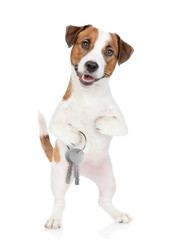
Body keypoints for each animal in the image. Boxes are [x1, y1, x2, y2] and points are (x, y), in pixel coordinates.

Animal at [38, 24, 133, 229]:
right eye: (85, 43)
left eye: (109, 51)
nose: (91, 65)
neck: (88, 95)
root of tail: (85, 171)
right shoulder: (56, 118)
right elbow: (57, 126)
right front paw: (74, 135)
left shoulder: (121, 120)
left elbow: (121, 127)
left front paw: (100, 122)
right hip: (58, 179)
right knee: (59, 201)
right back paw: (55, 218)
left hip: (109, 180)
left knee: (104, 200)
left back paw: (117, 215)